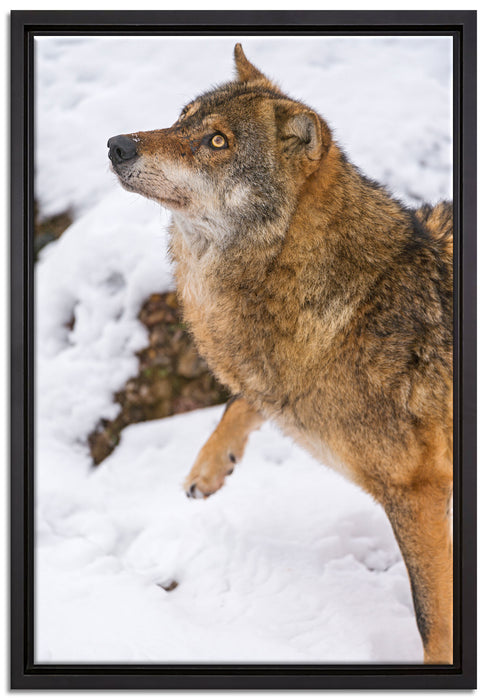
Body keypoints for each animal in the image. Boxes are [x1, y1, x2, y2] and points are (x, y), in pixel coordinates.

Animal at [108, 44, 453, 664]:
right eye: (181, 118)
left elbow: (432, 618)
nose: (117, 144)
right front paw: (209, 467)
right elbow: (243, 397)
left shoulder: (419, 493)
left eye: (217, 141)